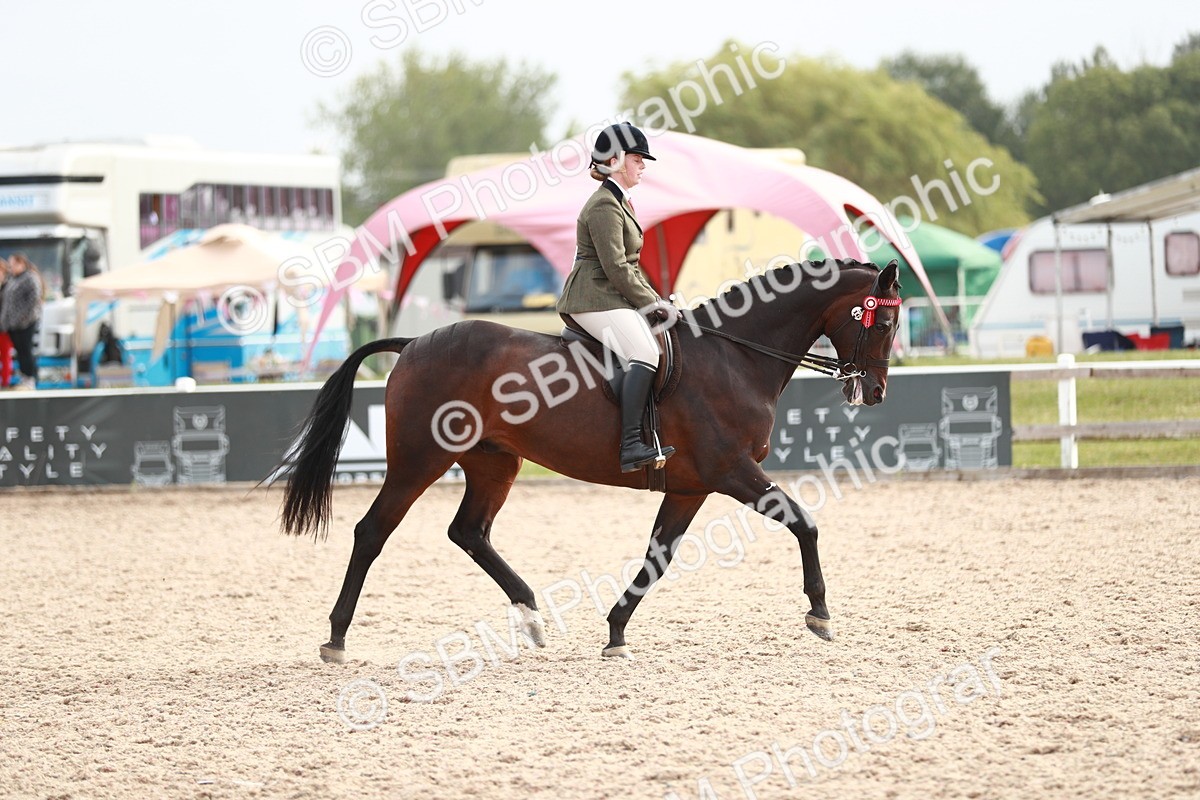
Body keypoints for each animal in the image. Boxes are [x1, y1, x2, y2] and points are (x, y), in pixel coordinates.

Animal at [276, 258, 901, 663]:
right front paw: (820, 613)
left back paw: (532, 617)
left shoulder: (691, 487)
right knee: (372, 531)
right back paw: (336, 639)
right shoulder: (733, 473)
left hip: (493, 463)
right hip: (419, 460)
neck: (734, 357)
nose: (874, 392)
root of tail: (412, 344)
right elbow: (805, 523)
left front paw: (616, 631)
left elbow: (657, 558)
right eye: (888, 321)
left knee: (469, 532)